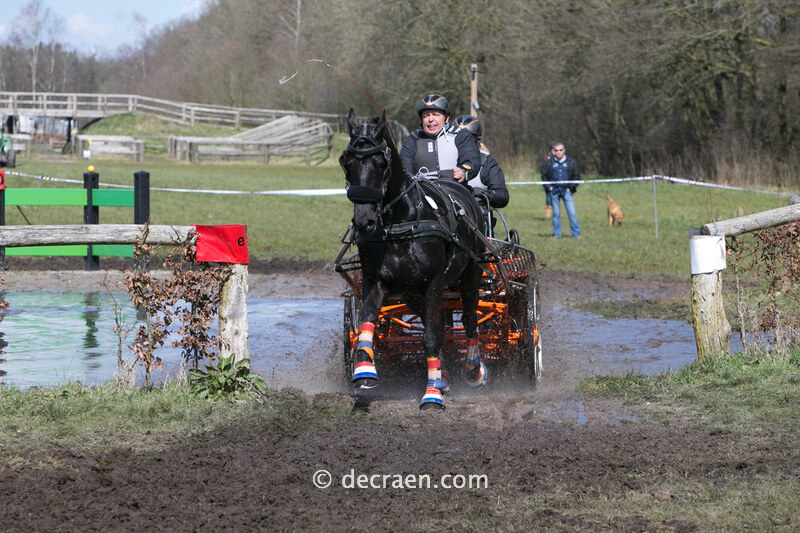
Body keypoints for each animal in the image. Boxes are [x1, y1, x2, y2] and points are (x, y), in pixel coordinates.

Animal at [339, 108, 488, 409]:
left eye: (381, 163)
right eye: (347, 163)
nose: (364, 221)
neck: (401, 223)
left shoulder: (433, 283)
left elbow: (431, 337)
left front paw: (431, 394)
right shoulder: (378, 281)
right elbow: (366, 321)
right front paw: (364, 372)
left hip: (470, 274)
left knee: (467, 320)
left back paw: (472, 370)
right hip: (411, 293)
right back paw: (444, 376)